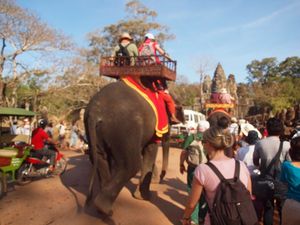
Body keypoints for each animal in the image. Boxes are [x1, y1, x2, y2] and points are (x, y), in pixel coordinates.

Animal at [84, 78, 183, 214]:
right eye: (169, 120)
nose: (162, 179)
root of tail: (95, 110)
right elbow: (151, 148)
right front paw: (144, 197)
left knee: (99, 159)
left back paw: (102, 208)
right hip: (124, 129)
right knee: (132, 165)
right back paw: (105, 209)